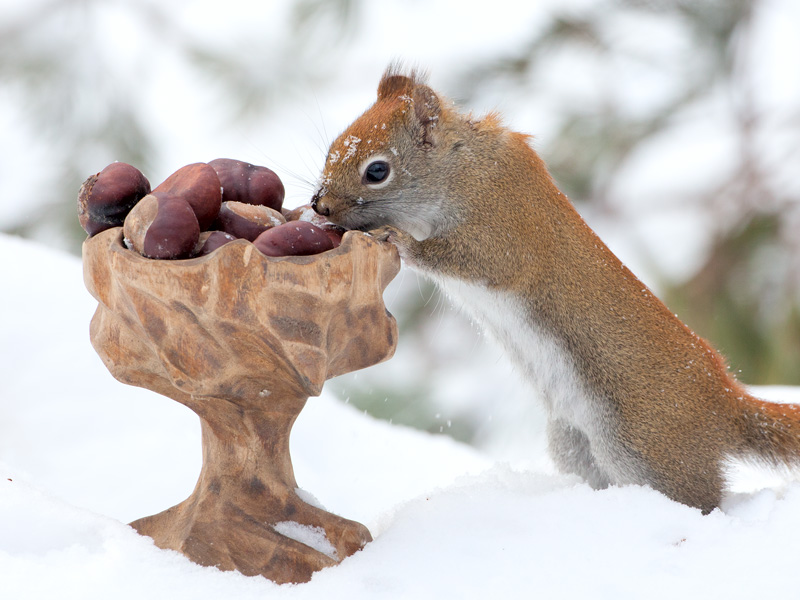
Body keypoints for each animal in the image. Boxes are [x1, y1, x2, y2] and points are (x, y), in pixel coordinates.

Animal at [310, 67, 800, 516]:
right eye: (333, 147)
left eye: (377, 170)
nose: (320, 205)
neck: (462, 168)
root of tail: (724, 404)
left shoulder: (500, 229)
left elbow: (467, 259)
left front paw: (398, 239)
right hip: (573, 443)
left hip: (646, 449)